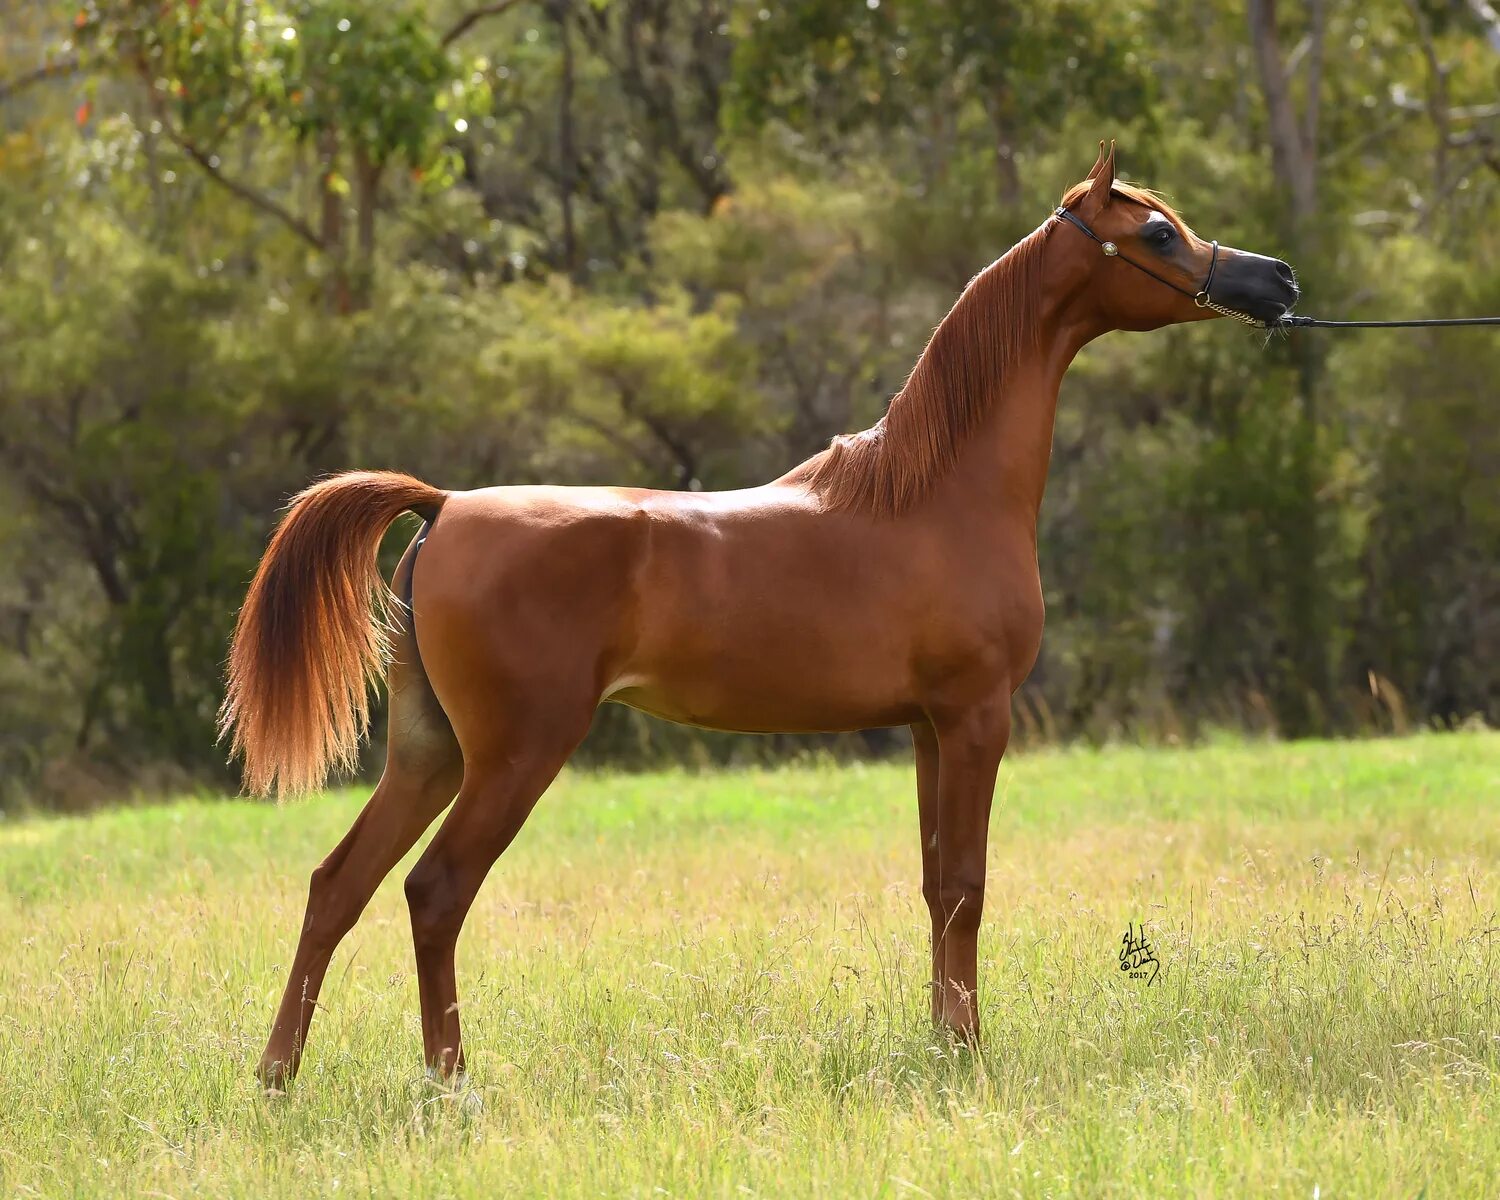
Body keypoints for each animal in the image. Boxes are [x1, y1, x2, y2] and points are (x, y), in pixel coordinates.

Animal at [225, 143, 1302, 1086]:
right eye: (1158, 231)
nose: (1278, 280)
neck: (934, 494)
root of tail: (446, 507)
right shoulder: (975, 718)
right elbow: (968, 887)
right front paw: (969, 1055)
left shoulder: (927, 729)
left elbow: (934, 886)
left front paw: (943, 1044)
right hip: (515, 754)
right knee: (435, 892)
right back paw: (451, 1081)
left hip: (427, 752)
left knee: (338, 887)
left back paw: (278, 1076)